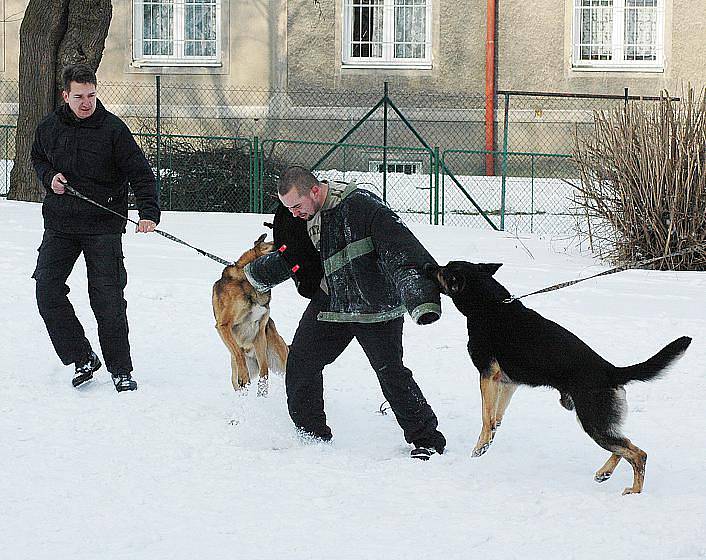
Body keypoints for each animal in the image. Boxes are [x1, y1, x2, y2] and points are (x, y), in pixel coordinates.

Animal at [210, 234, 288, 396]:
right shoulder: (223, 325)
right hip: (235, 375)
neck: (249, 282)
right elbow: (238, 352)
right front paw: (244, 376)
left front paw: (262, 389)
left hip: (280, 359)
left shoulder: (260, 331)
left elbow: (264, 369)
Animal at [424, 262, 688, 494]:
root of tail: (611, 369)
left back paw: (634, 491)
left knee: (638, 454)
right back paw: (604, 473)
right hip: (596, 422)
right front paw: (490, 438)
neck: (489, 304)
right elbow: (496, 415)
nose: (427, 266)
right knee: (625, 445)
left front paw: (481, 445)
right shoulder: (507, 382)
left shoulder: (487, 375)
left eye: (443, 270)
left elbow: (485, 416)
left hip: (592, 421)